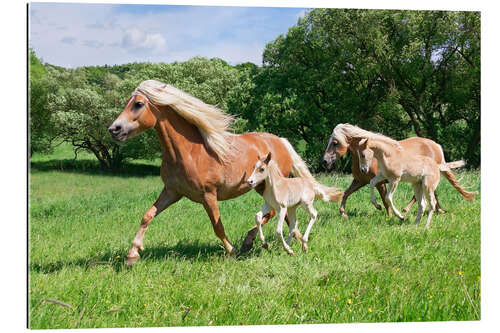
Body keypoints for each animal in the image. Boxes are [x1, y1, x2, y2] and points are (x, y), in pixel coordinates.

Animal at [109, 79, 342, 264]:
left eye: (138, 104)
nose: (114, 130)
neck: (188, 152)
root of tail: (281, 141)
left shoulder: (208, 195)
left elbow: (217, 226)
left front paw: (232, 251)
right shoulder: (172, 192)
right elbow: (147, 216)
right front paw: (132, 254)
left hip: (267, 185)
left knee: (274, 213)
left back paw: (253, 242)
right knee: (282, 216)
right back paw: (294, 240)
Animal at [320, 122, 476, 218]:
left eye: (335, 143)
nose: (325, 161)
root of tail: (436, 145)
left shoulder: (381, 182)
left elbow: (384, 199)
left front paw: (387, 213)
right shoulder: (360, 181)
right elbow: (346, 193)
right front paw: (343, 213)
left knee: (421, 195)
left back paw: (407, 210)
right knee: (431, 193)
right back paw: (439, 210)